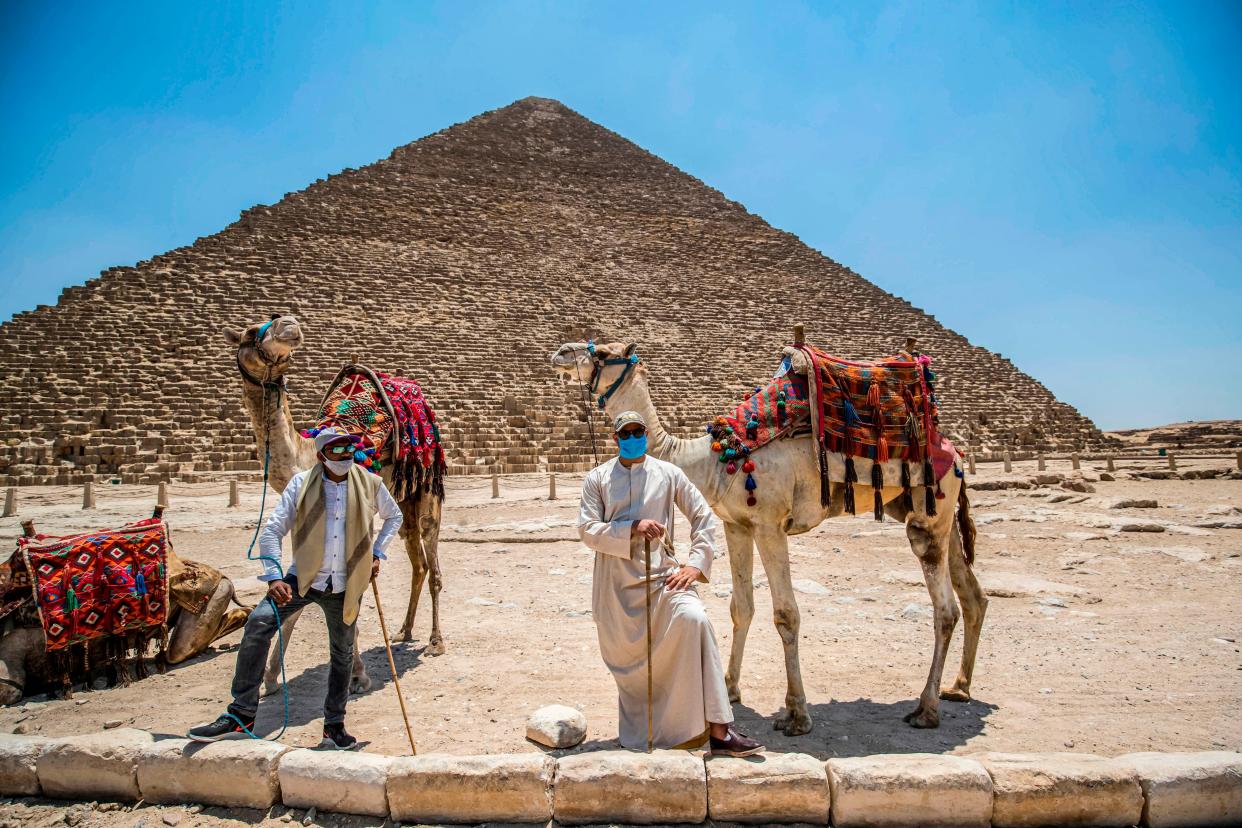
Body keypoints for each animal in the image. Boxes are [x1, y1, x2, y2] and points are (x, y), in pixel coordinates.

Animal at [224, 314, 447, 695]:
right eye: (252, 333)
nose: (289, 324)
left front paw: (357, 675)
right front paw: (270, 678)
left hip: (428, 489)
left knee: (432, 565)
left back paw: (435, 641)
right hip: (404, 499)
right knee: (416, 561)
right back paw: (404, 630)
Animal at [558, 340, 983, 734]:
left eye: (603, 353)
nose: (561, 353)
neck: (713, 458)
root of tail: (955, 452)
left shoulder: (768, 523)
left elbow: (786, 614)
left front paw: (796, 714)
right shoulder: (736, 525)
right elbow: (740, 607)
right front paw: (729, 688)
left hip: (928, 513)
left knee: (945, 607)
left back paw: (926, 709)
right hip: (931, 514)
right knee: (972, 595)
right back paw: (959, 687)